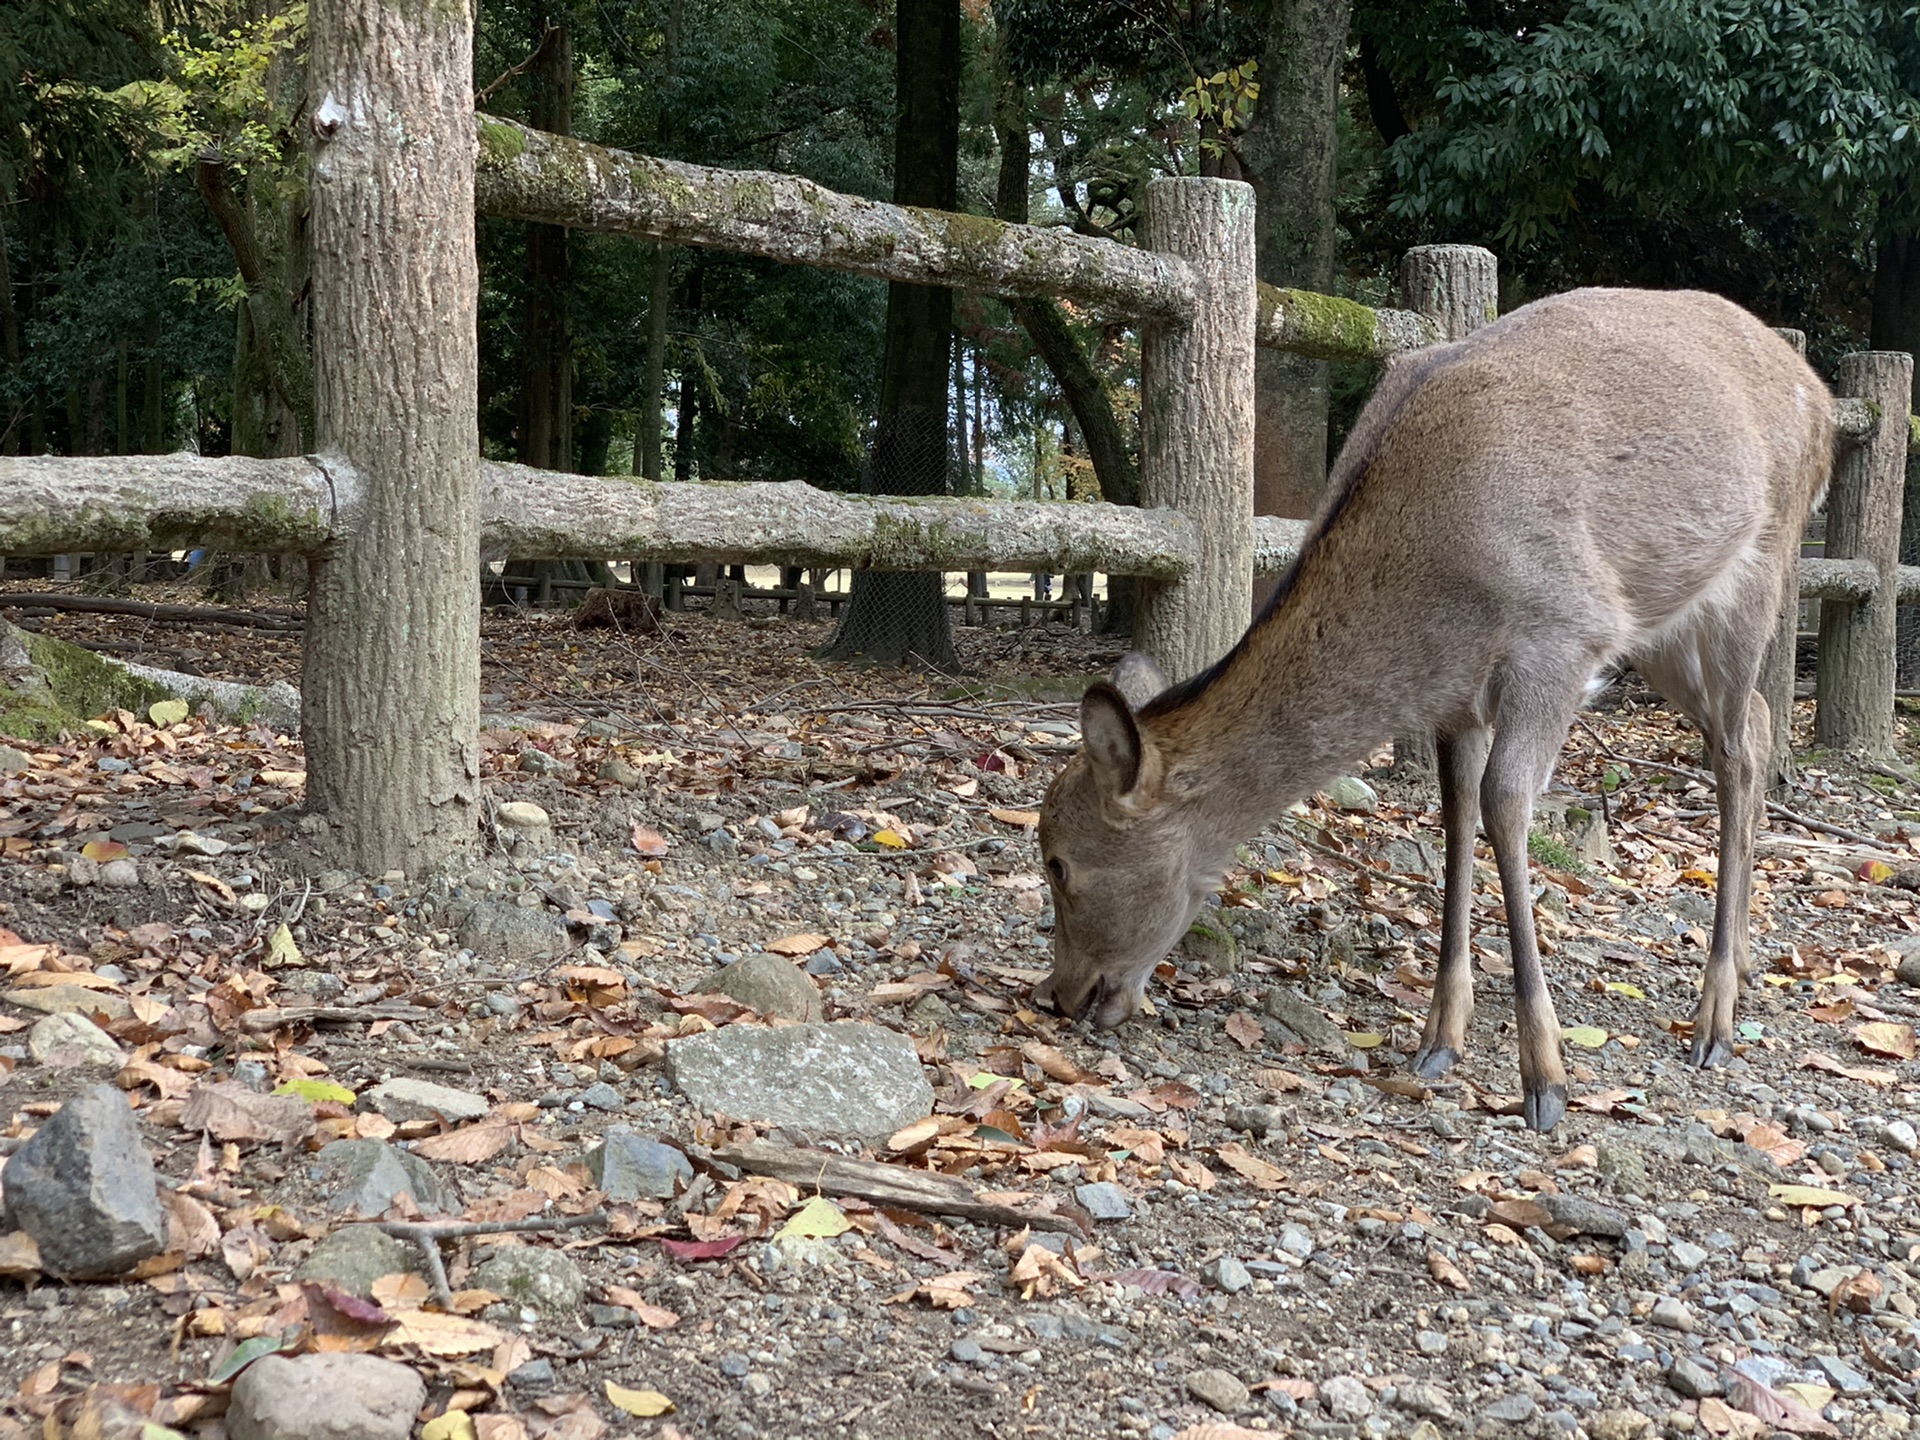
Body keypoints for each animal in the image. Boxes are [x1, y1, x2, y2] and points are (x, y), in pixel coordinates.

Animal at [1036, 288, 1827, 1136]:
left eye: (1059, 862)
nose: (1058, 995)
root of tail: (1818, 393)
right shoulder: (1458, 696)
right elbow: (1454, 815)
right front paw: (1439, 1038)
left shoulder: (1561, 635)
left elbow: (1504, 805)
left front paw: (1544, 1078)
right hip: (1665, 623)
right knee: (1755, 723)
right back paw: (1741, 966)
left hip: (1759, 571)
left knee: (1737, 750)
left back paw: (1715, 1018)